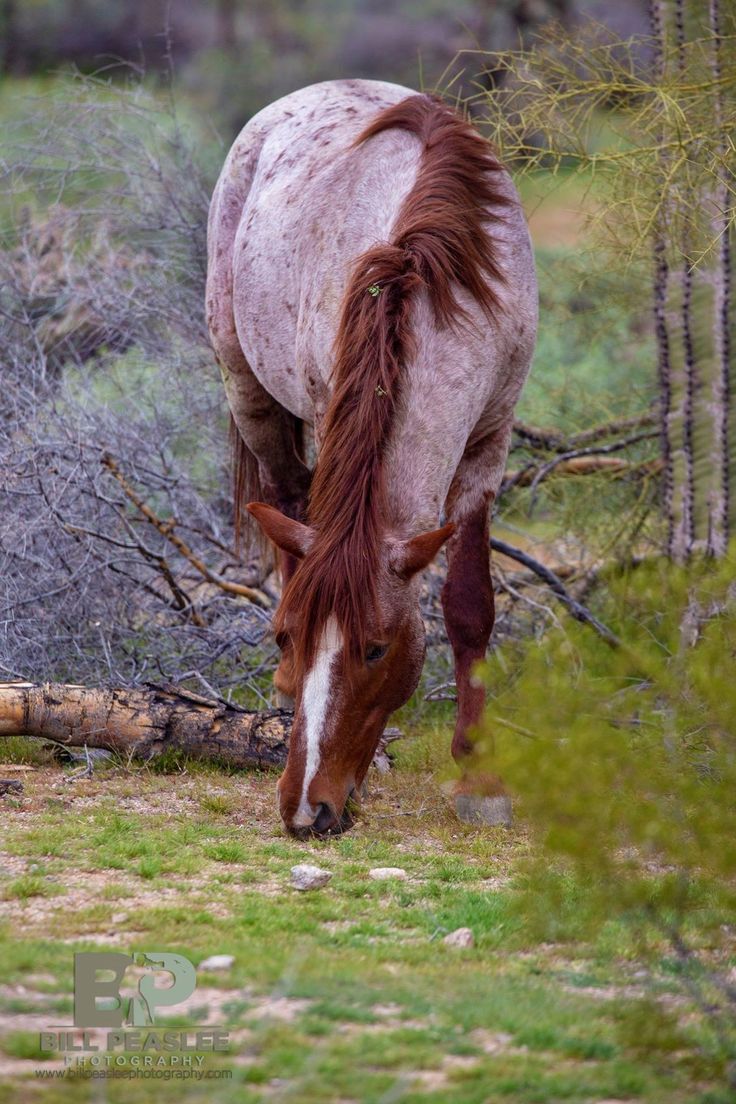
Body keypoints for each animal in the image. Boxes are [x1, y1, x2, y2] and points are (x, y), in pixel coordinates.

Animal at [204, 77, 538, 834]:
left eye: (377, 648)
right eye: (285, 637)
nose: (308, 808)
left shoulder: (489, 444)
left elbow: (470, 605)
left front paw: (479, 774)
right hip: (250, 395)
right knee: (290, 516)